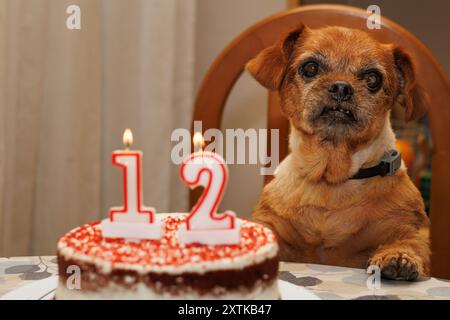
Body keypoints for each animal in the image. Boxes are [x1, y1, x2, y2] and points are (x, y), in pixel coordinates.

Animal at [248, 25, 430, 280]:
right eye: (310, 67)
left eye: (373, 78)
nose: (342, 87)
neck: (330, 179)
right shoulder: (273, 226)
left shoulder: (403, 228)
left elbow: (408, 242)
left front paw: (398, 256)